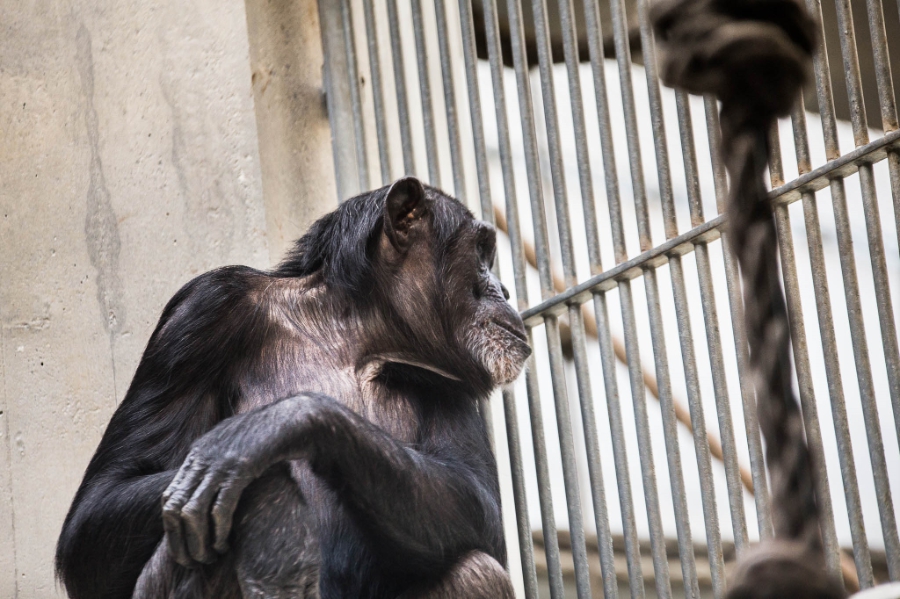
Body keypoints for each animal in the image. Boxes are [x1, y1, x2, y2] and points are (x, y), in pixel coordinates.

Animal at [56, 179, 532, 599]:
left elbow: (478, 501)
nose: (505, 289)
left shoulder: (456, 381)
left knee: (478, 573)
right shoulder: (202, 311)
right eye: (481, 252)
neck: (351, 333)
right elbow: (96, 511)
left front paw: (270, 429)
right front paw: (266, 499)